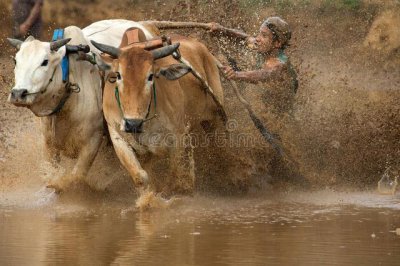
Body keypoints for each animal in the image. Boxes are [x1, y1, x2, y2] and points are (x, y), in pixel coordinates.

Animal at [7, 20, 155, 191]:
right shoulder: (48, 143)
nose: (18, 94)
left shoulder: (93, 140)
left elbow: (76, 177)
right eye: (16, 61)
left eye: (44, 62)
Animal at [93, 29, 225, 195]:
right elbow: (140, 176)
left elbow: (175, 174)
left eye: (150, 76)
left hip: (215, 118)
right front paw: (148, 197)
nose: (133, 124)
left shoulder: (177, 136)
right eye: (118, 75)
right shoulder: (116, 134)